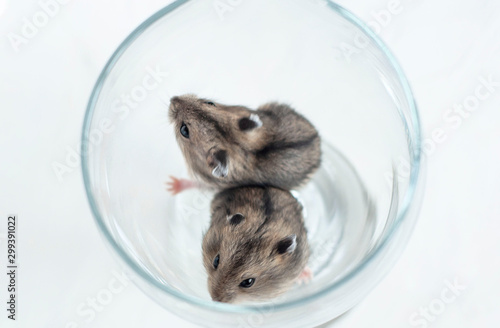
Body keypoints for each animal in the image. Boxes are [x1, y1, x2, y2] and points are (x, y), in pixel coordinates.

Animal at [168, 94, 322, 192]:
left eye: (184, 130)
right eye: (210, 102)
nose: (172, 98)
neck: (240, 147)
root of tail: (318, 138)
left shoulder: (210, 183)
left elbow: (194, 183)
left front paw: (170, 185)